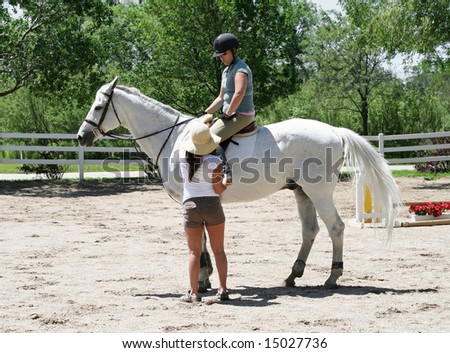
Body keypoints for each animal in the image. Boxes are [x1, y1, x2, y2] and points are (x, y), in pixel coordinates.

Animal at [76, 77, 400, 288]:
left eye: (98, 106)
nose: (81, 136)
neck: (174, 137)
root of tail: (333, 130)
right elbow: (204, 237)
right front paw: (206, 278)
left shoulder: (191, 198)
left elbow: (200, 237)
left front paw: (202, 279)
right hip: (302, 192)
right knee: (310, 230)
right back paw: (293, 275)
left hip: (318, 193)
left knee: (335, 228)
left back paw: (332, 276)